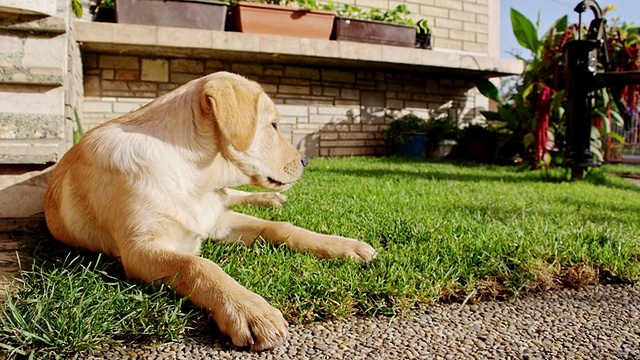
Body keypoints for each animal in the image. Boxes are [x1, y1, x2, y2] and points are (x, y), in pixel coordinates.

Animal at [45, 71, 378, 350]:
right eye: (273, 125)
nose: (306, 161)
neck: (194, 175)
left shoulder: (218, 218)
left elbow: (279, 227)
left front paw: (343, 246)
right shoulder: (139, 250)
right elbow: (199, 265)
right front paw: (249, 310)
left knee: (235, 195)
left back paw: (271, 199)